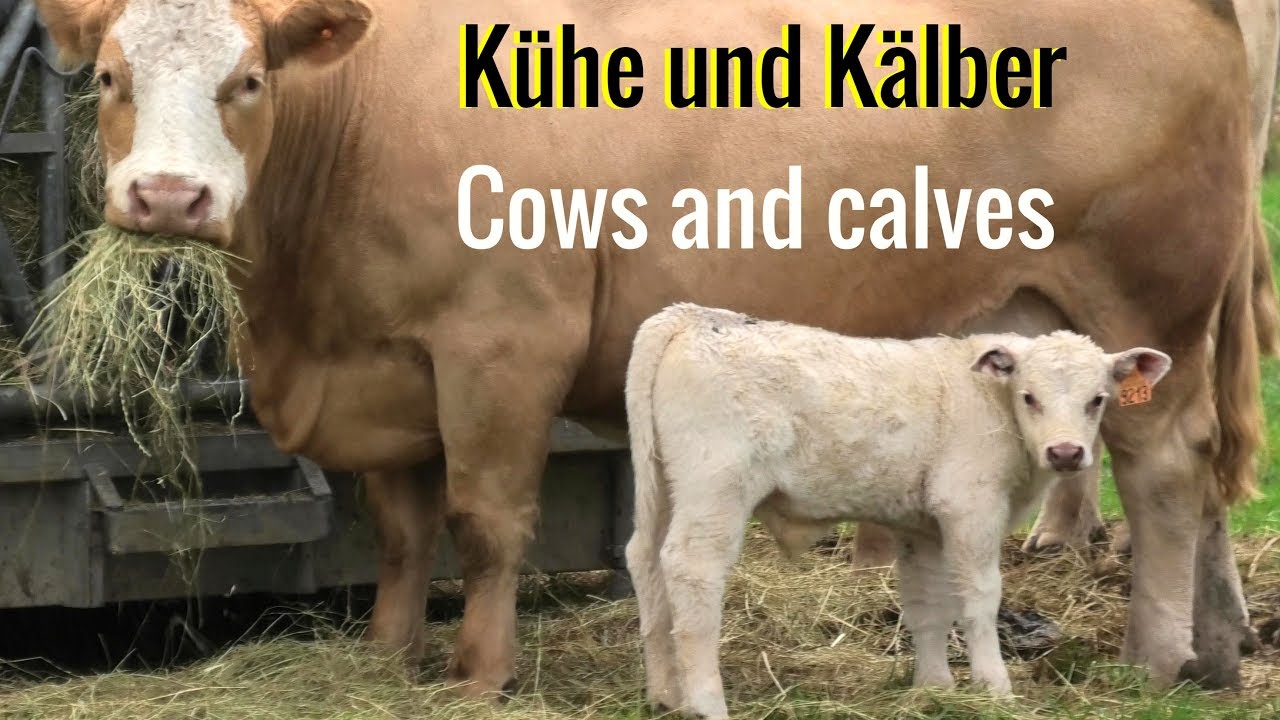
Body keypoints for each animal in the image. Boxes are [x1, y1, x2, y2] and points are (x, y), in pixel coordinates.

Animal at [622, 303, 1172, 719]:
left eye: (1097, 399)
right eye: (1029, 396)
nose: (1066, 453)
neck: (988, 400)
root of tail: (689, 316)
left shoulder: (923, 527)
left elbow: (926, 604)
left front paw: (934, 687)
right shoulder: (970, 508)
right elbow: (979, 597)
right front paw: (995, 688)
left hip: (661, 486)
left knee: (645, 560)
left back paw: (663, 695)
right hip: (717, 487)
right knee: (692, 569)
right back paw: (705, 703)